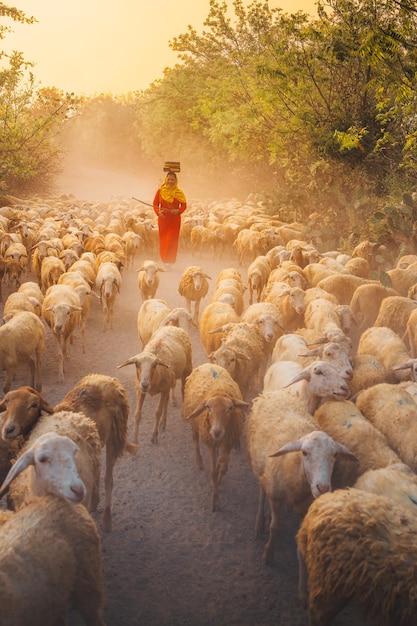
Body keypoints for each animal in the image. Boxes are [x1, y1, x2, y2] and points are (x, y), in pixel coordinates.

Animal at [181, 360, 247, 512]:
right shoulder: (210, 443)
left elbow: (223, 469)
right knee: (195, 441)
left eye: (230, 408)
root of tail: (207, 363)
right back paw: (199, 462)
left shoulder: (228, 442)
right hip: (194, 424)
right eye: (208, 408)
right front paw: (214, 502)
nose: (216, 432)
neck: (218, 391)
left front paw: (219, 483)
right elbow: (213, 472)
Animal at [245, 388, 356, 564]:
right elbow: (275, 527)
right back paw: (260, 521)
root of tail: (275, 392)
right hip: (261, 470)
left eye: (335, 455)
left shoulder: (304, 508)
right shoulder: (275, 497)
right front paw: (268, 553)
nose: (323, 488)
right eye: (304, 452)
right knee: (262, 491)